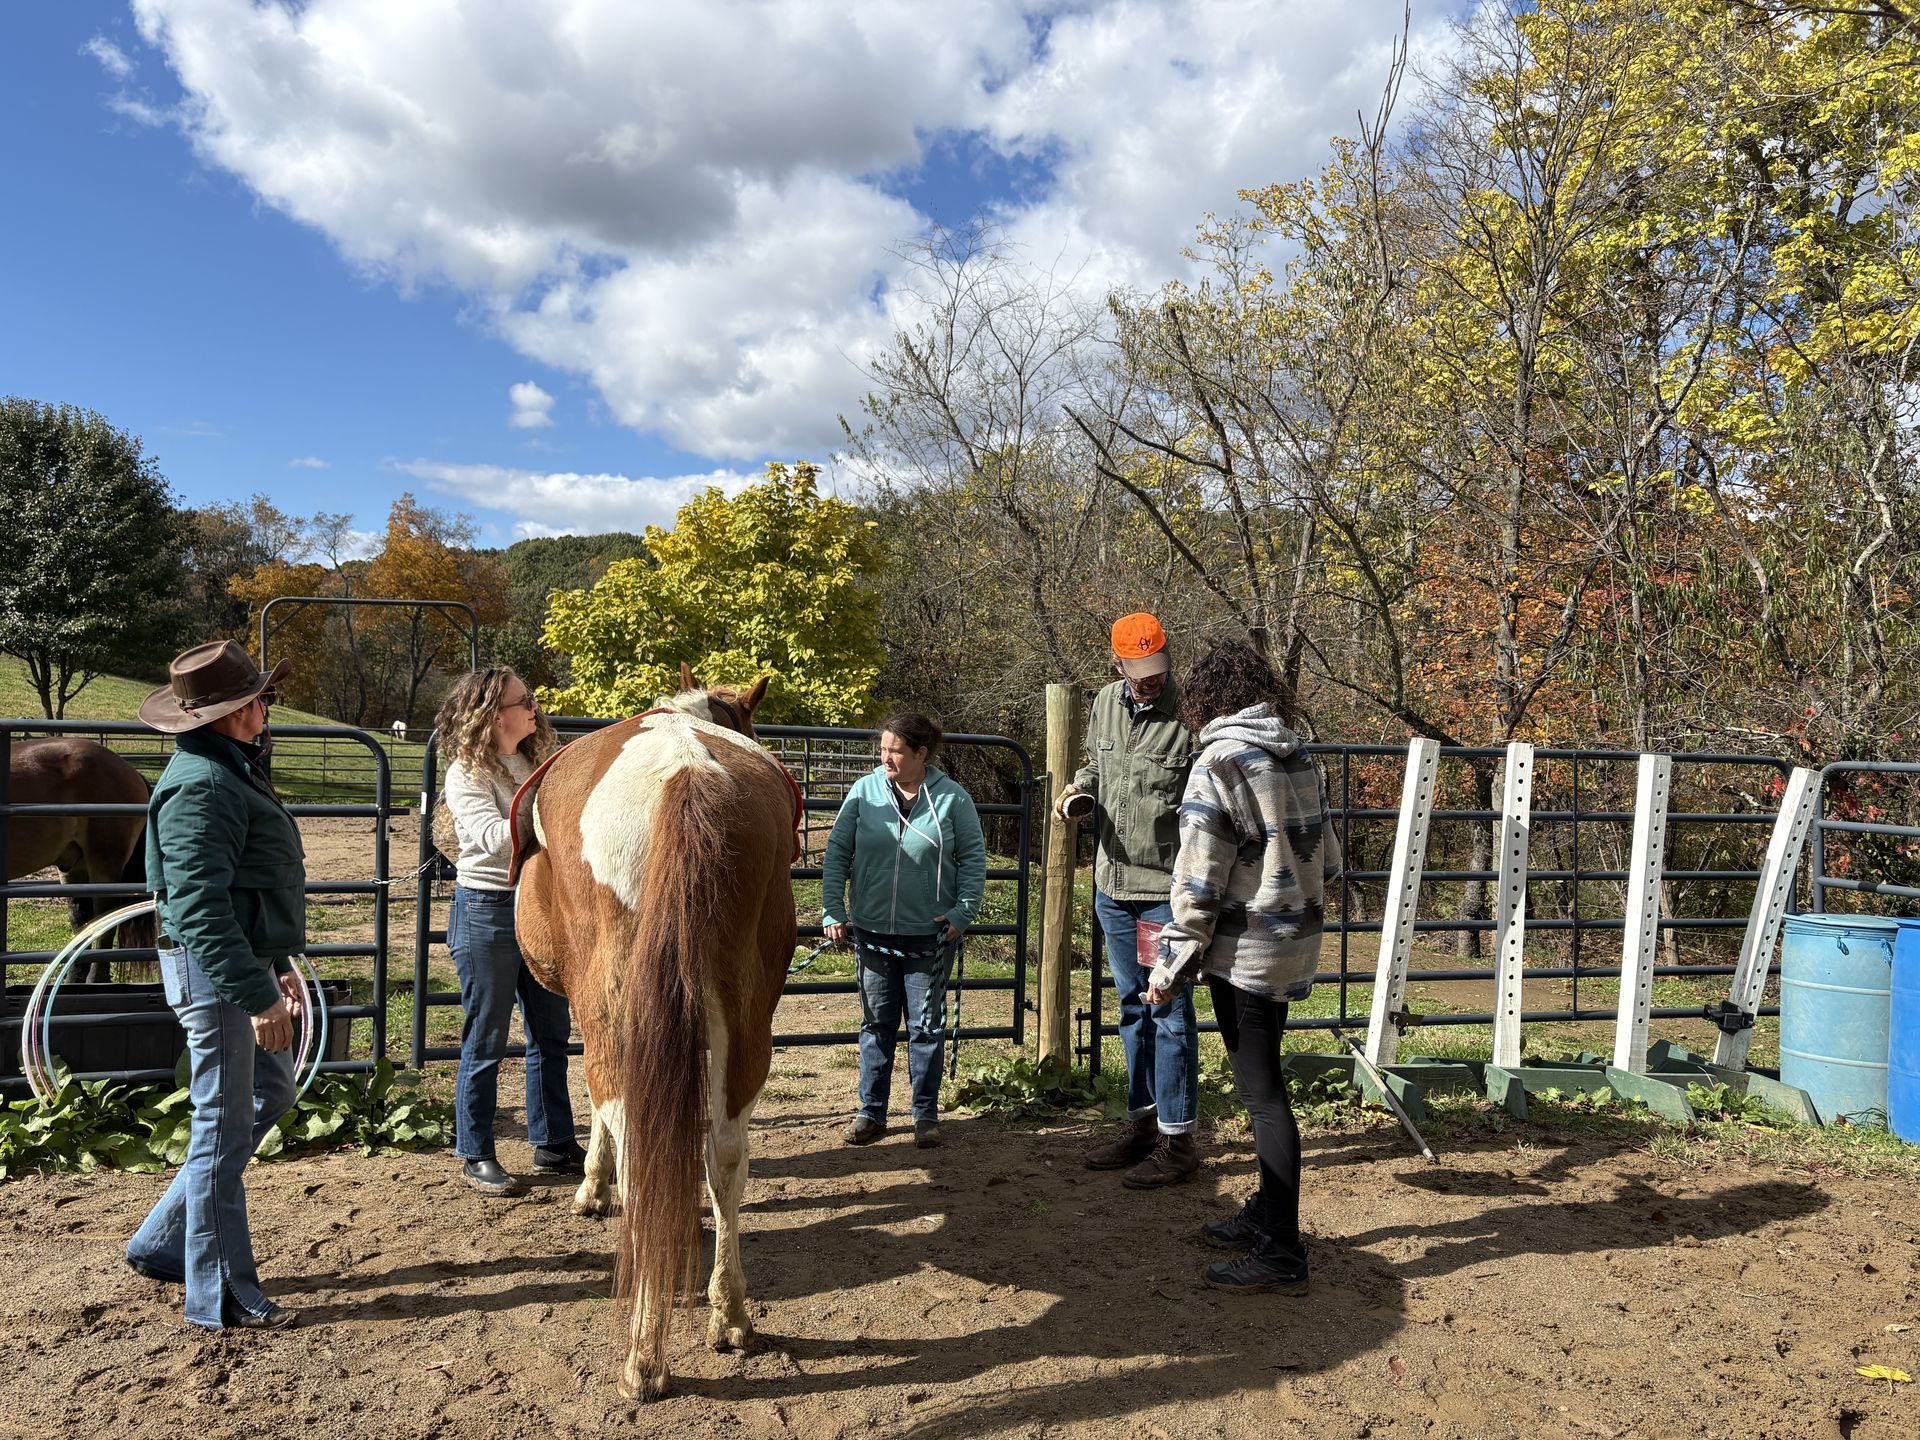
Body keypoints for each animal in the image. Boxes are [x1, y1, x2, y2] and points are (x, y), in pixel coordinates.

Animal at [512, 665, 798, 1400]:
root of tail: (683, 774)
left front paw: (591, 1187)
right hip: (746, 1013)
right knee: (725, 1150)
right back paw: (729, 1314)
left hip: (613, 1008)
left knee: (637, 1138)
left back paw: (644, 1355)